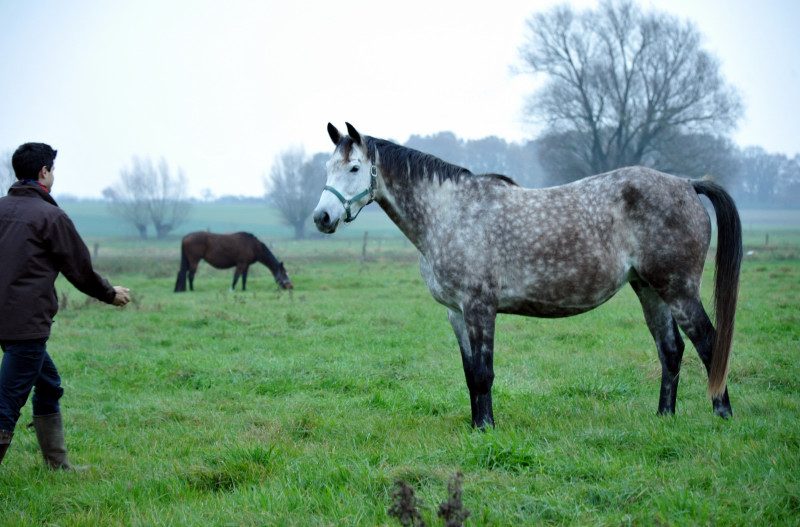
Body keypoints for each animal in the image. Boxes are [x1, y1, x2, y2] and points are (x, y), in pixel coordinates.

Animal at [312, 122, 744, 428]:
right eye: (328, 168)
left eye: (354, 167)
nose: (322, 218)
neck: (451, 213)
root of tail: (686, 183)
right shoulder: (456, 313)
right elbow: (469, 373)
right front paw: (476, 425)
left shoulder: (480, 307)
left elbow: (483, 373)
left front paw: (486, 428)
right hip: (649, 289)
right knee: (671, 351)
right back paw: (663, 417)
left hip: (679, 289)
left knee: (709, 343)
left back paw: (722, 414)